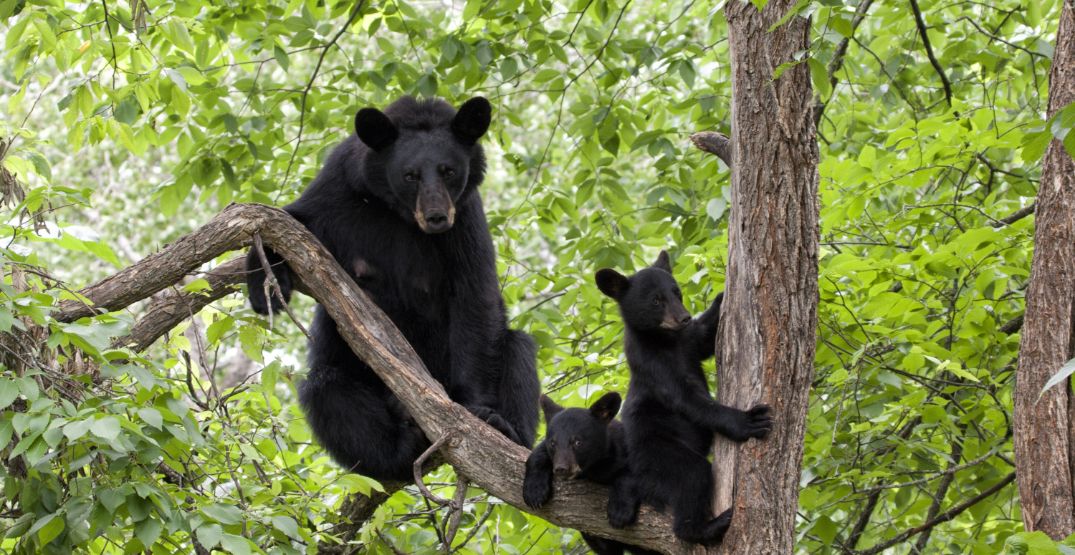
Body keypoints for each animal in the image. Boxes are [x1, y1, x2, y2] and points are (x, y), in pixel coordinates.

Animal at [247, 97, 541, 479]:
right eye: (410, 175)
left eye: (448, 171)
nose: (436, 217)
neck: (398, 213)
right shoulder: (338, 189)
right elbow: (290, 221)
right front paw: (263, 287)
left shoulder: (465, 218)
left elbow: (475, 296)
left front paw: (479, 411)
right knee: (328, 390)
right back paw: (398, 449)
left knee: (518, 350)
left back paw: (507, 429)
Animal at [520, 391, 653, 555]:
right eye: (553, 443)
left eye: (578, 442)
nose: (561, 468)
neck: (594, 466)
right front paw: (535, 492)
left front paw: (619, 512)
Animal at [597, 251, 774, 546]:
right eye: (656, 300)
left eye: (677, 292)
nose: (684, 317)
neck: (666, 340)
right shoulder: (654, 366)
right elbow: (689, 400)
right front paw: (748, 421)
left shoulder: (688, 342)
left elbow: (704, 337)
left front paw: (722, 296)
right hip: (658, 453)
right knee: (692, 475)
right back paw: (707, 527)